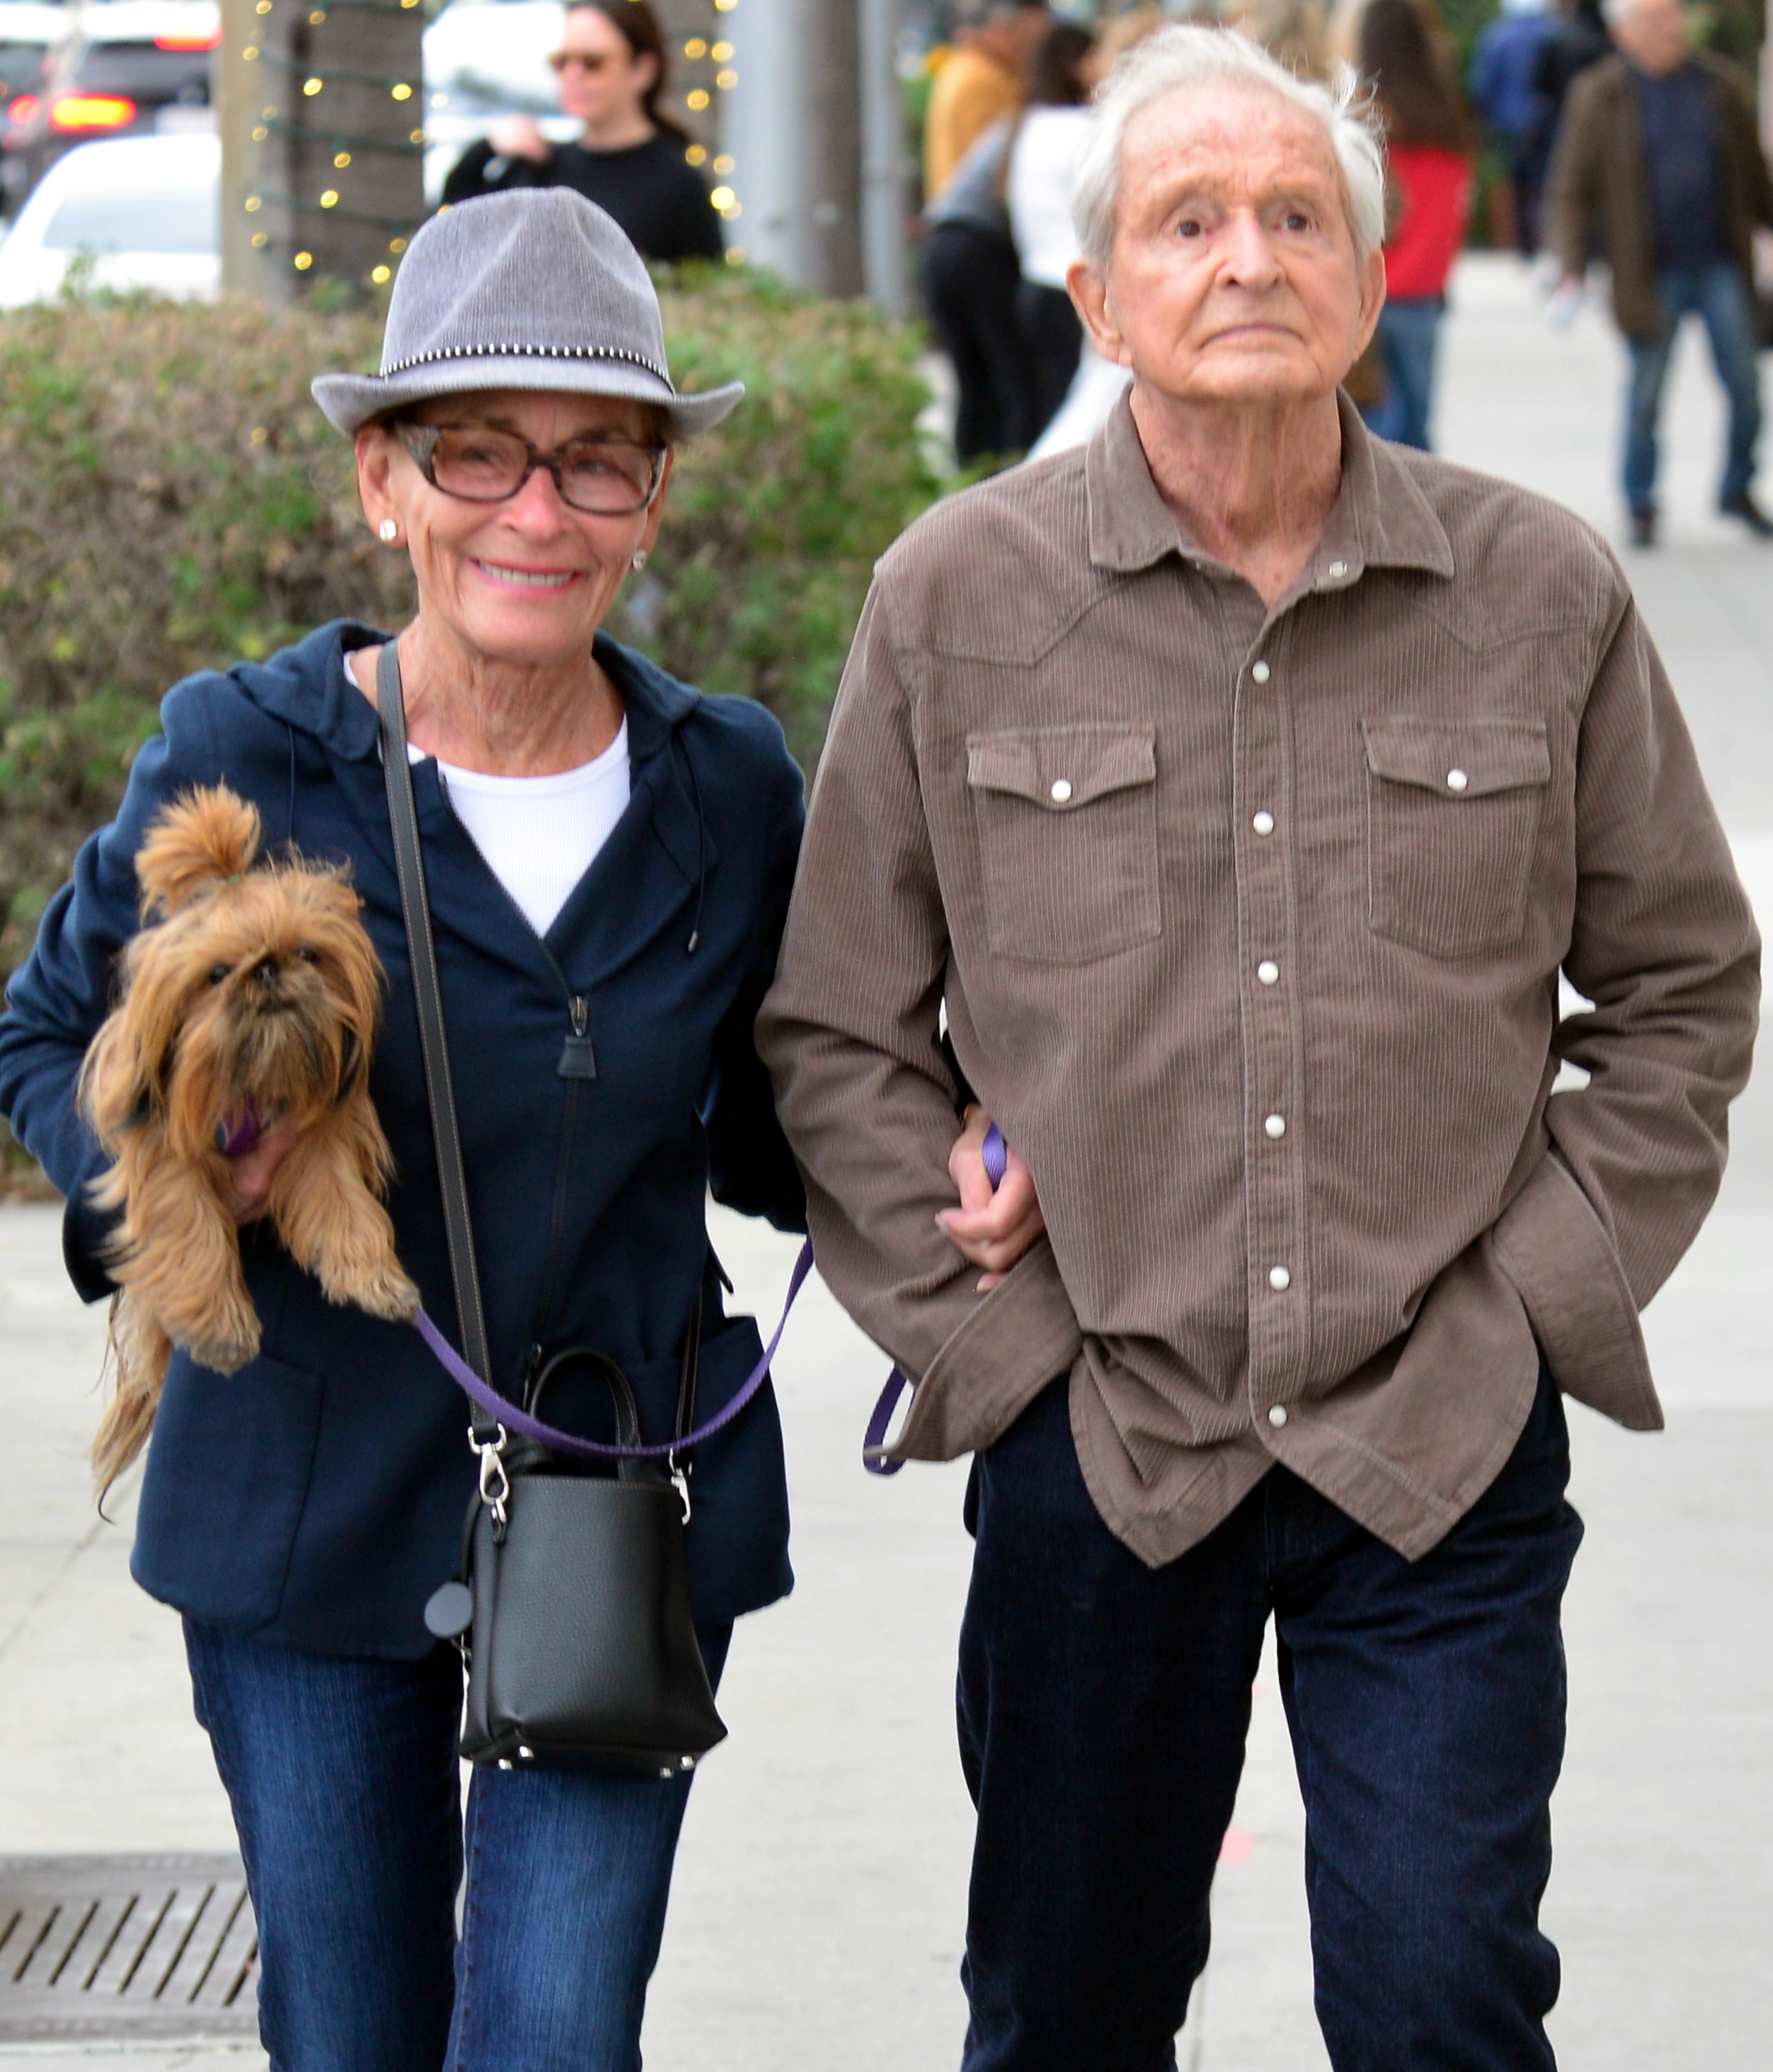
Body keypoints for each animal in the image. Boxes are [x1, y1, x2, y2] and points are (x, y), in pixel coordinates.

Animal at [77, 783, 418, 1484]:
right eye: (215, 973)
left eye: (308, 953)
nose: (266, 969)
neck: (251, 1082)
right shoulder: (169, 1156)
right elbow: (192, 1227)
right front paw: (220, 1325)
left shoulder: (317, 1140)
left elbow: (344, 1208)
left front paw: (375, 1277)